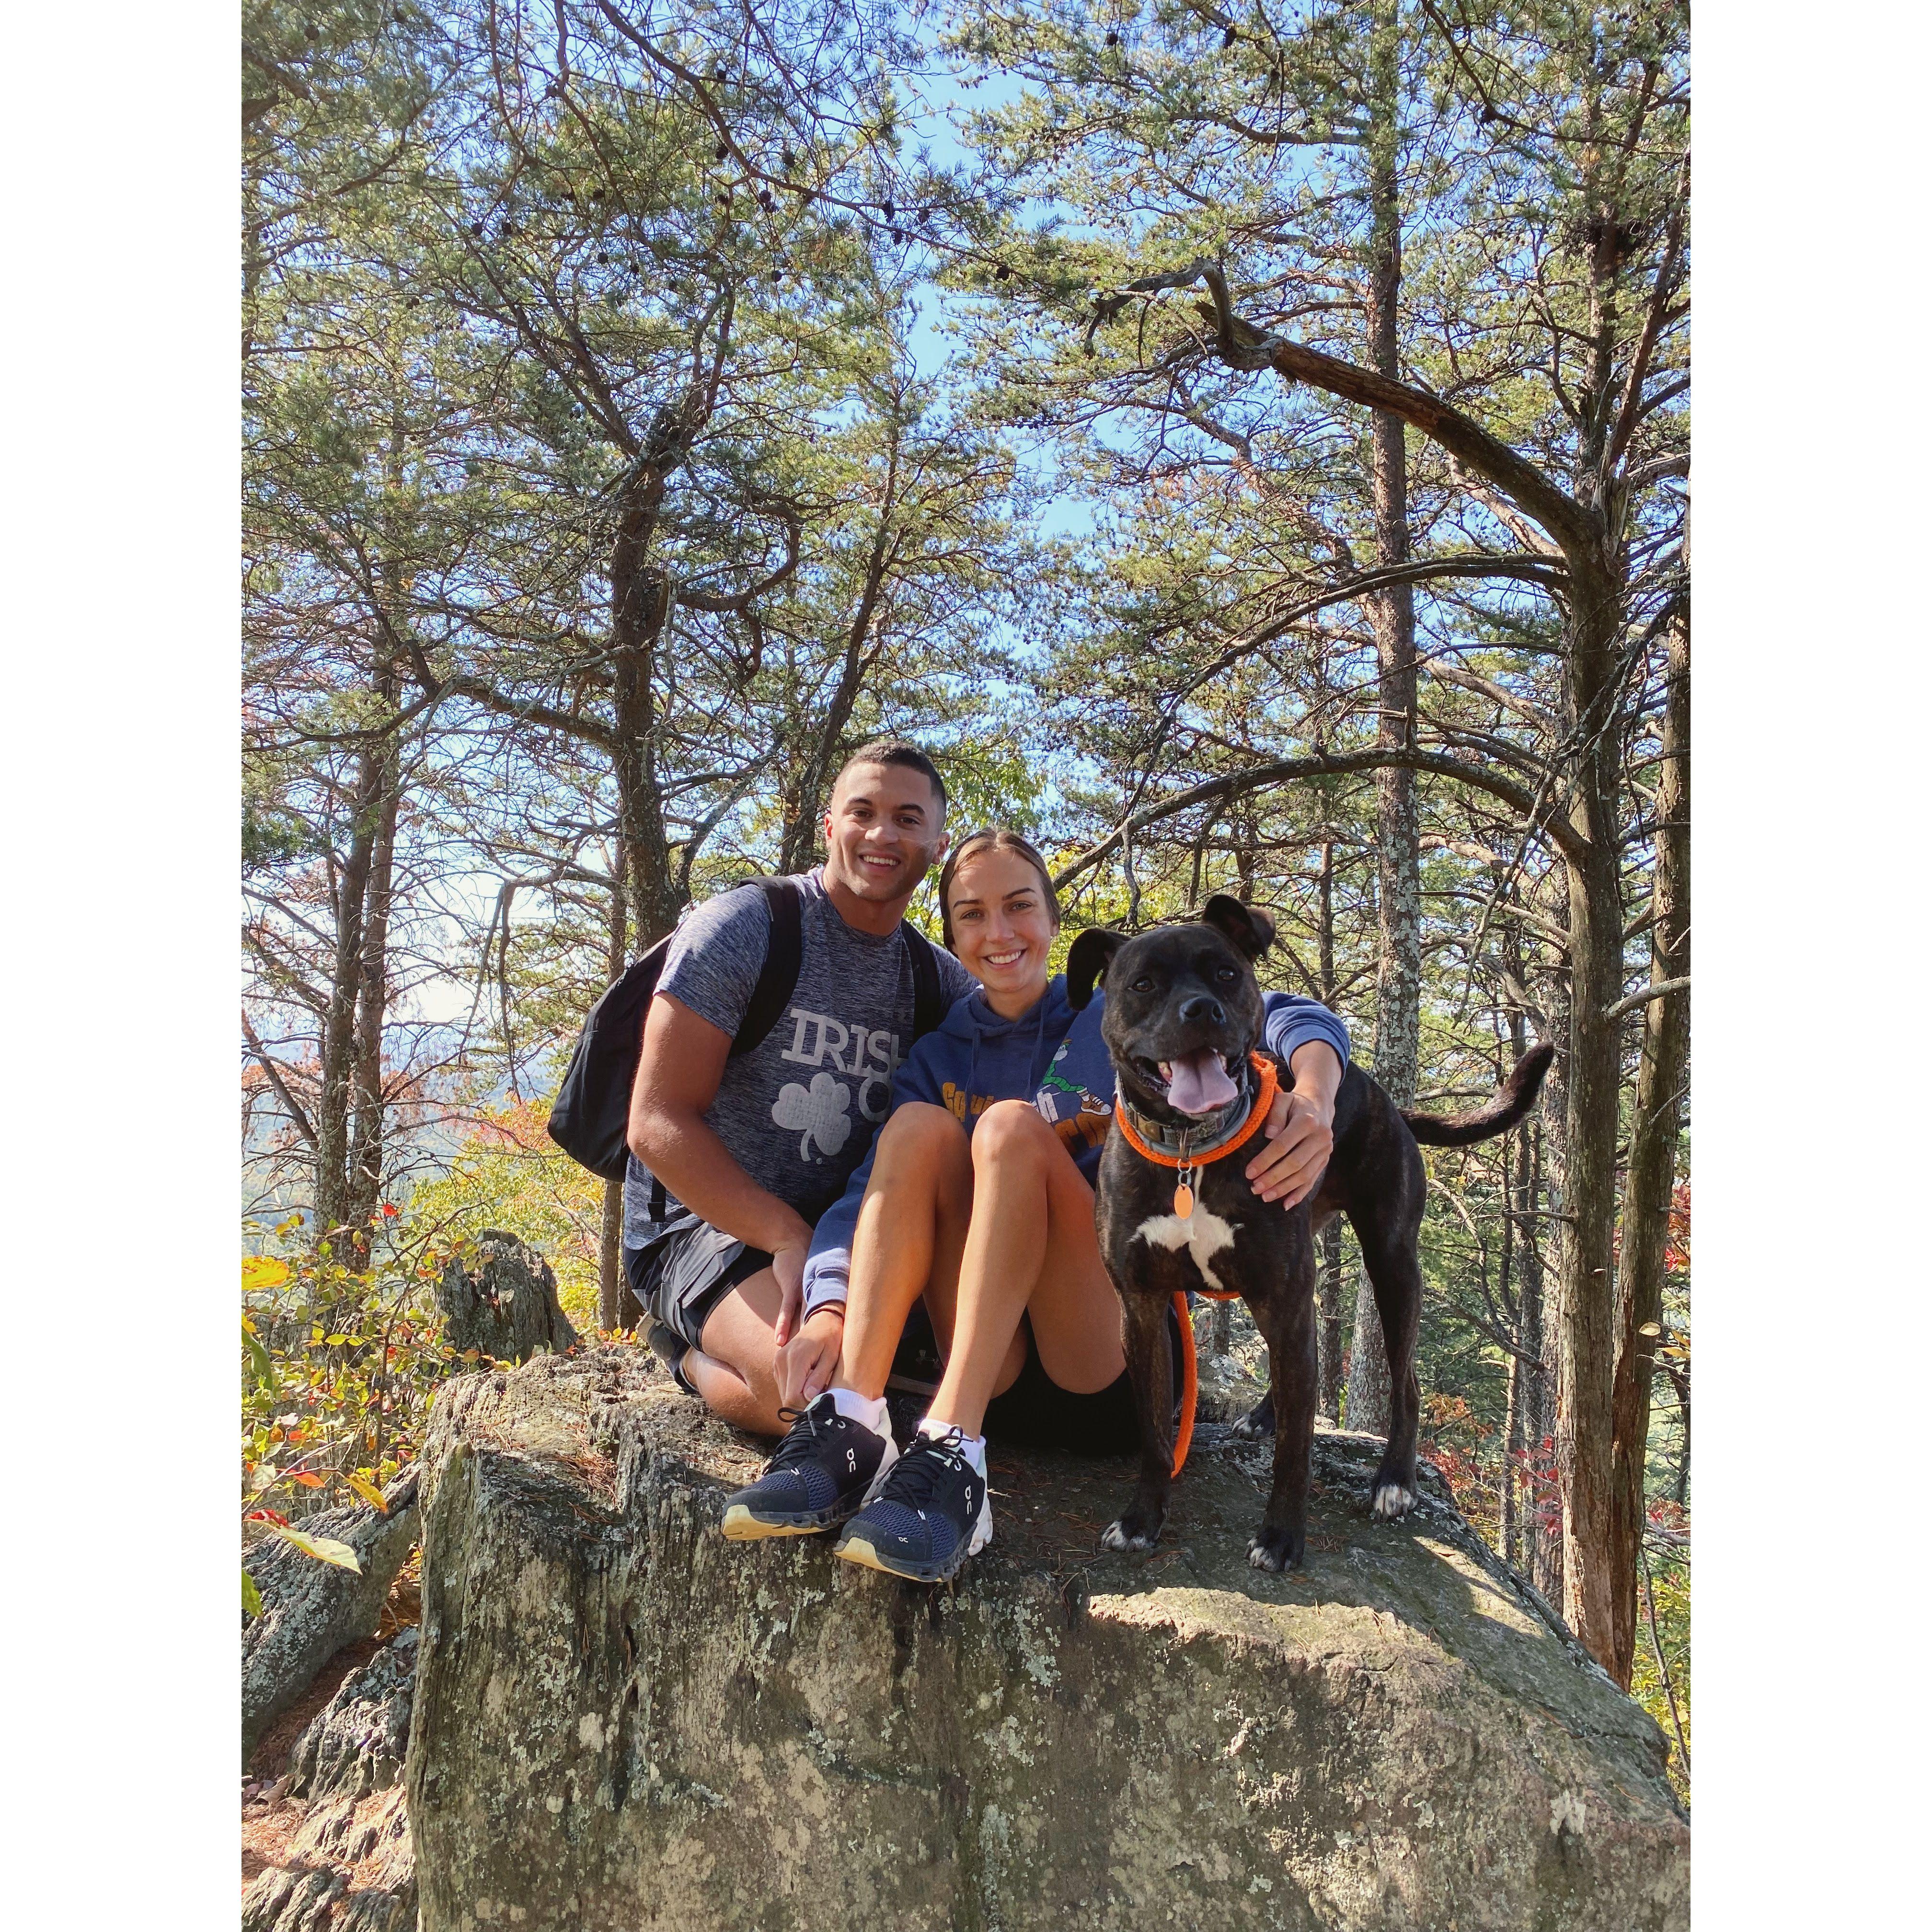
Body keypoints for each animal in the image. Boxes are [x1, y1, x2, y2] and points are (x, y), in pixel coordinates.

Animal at [1067, 896, 1553, 1572]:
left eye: (1226, 974)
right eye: (1143, 985)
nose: (1202, 1011)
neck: (1192, 1149)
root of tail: (1386, 1098)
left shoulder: (1280, 1292)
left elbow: (1297, 1451)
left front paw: (1282, 1536)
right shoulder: (1142, 1308)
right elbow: (1156, 1434)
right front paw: (1143, 1518)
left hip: (1389, 1266)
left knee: (1404, 1383)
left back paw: (1393, 1480)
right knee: (1300, 1366)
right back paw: (1266, 1416)